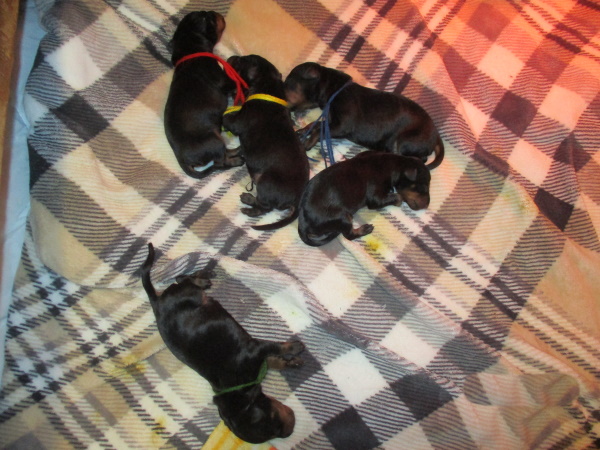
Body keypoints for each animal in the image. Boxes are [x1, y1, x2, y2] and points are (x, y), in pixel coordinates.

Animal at [141, 243, 304, 443]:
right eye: (270, 433)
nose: (290, 432)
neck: (237, 385)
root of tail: (156, 303)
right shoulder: (256, 352)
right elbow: (273, 357)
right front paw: (289, 360)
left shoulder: (257, 348)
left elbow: (276, 347)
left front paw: (295, 348)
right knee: (181, 279)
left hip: (189, 295)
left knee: (182, 279)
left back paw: (203, 279)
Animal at [164, 11, 243, 179]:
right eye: (208, 18)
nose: (214, 12)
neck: (191, 51)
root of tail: (181, 158)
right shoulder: (224, 81)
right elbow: (235, 80)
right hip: (214, 141)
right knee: (221, 162)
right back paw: (237, 159)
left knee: (224, 155)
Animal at [222, 55, 309, 230]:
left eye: (242, 61)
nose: (233, 56)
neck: (268, 89)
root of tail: (297, 199)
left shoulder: (239, 120)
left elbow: (227, 118)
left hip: (266, 182)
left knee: (264, 208)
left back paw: (248, 202)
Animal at [284, 62, 444, 169]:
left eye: (288, 82)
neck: (336, 89)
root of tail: (436, 136)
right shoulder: (331, 120)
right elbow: (316, 124)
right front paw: (303, 131)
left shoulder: (343, 125)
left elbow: (320, 129)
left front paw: (308, 143)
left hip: (406, 140)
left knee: (419, 158)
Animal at [297, 152, 431, 246]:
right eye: (424, 187)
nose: (427, 206)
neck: (393, 163)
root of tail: (303, 221)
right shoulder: (375, 198)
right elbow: (398, 197)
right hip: (342, 217)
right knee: (349, 235)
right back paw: (364, 229)